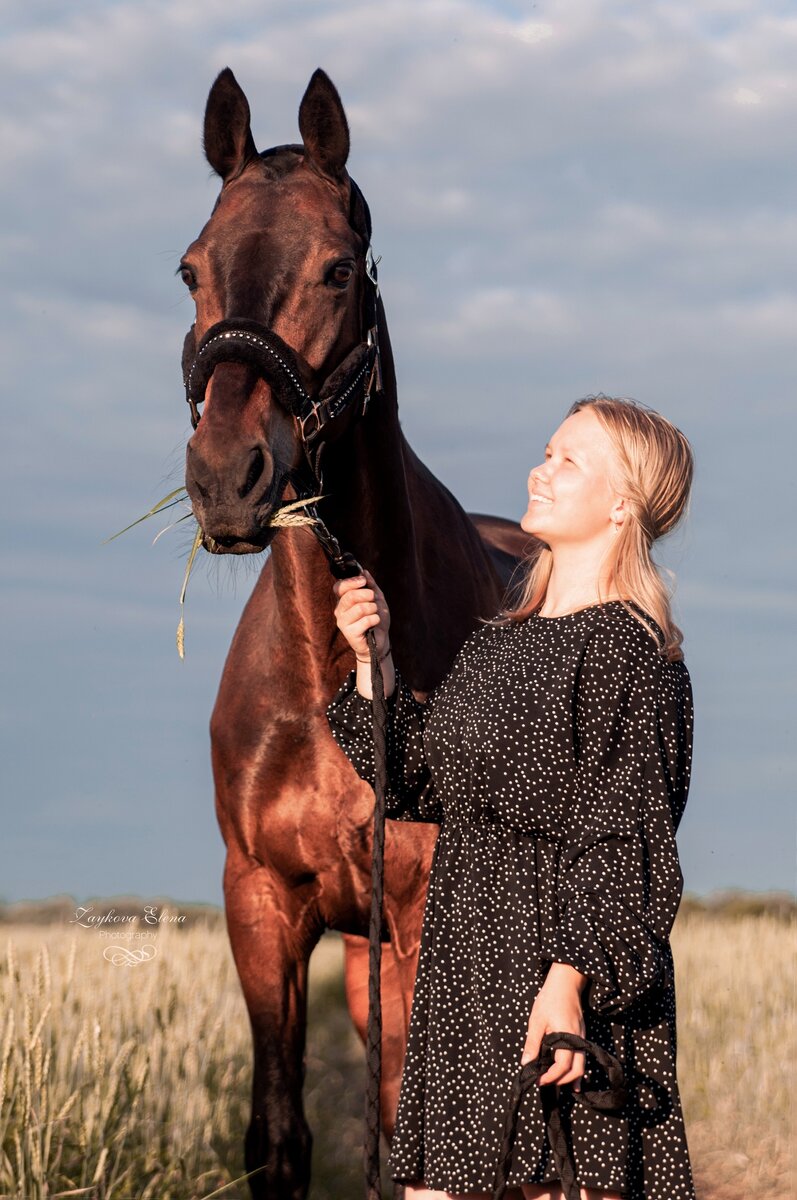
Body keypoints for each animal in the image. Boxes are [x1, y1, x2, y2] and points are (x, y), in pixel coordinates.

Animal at [178, 68, 535, 1200]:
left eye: (336, 267)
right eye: (190, 268)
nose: (227, 479)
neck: (330, 668)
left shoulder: (418, 920)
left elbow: (413, 1134)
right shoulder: (265, 905)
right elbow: (280, 1138)